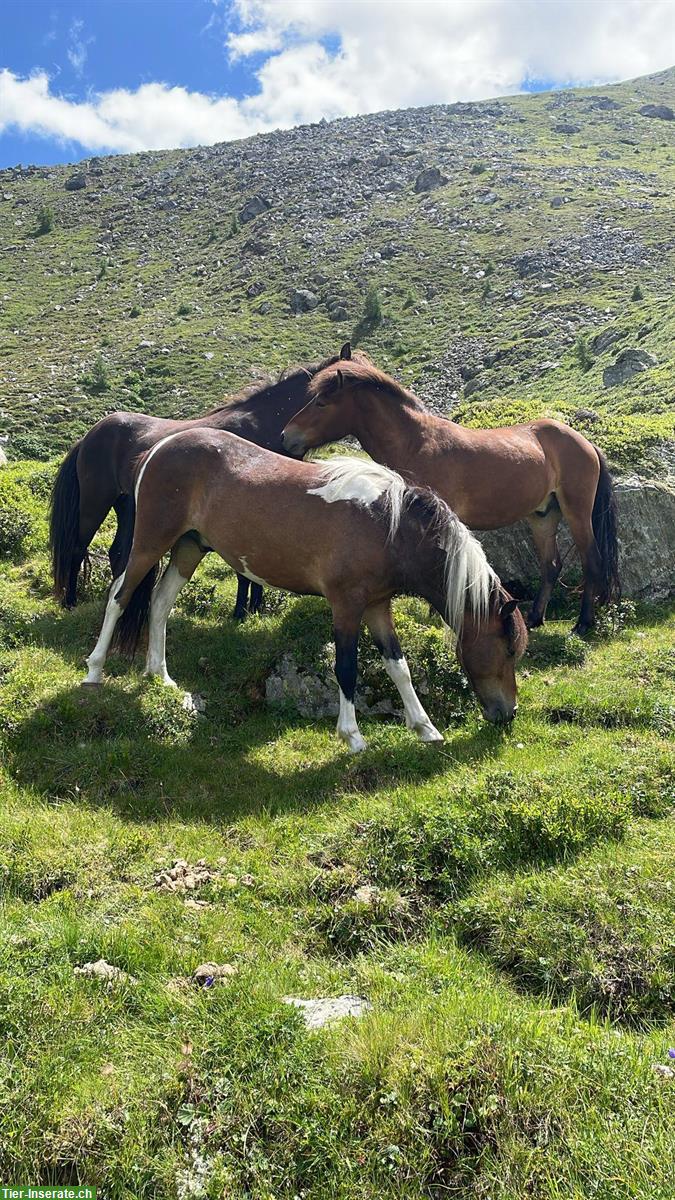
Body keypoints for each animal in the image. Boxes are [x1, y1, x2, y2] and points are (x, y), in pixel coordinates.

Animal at [49, 343, 348, 614]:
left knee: (117, 553)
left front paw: (254, 608)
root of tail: (89, 436)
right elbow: (243, 570)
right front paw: (241, 612)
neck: (265, 424)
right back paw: (70, 602)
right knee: (78, 547)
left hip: (126, 507)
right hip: (95, 503)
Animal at [82, 432, 526, 748]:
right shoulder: (346, 606)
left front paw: (425, 728)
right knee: (119, 597)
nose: (508, 713)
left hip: (189, 548)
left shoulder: (377, 606)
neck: (390, 524)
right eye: (508, 649)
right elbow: (346, 667)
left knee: (159, 603)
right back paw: (94, 671)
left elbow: (398, 666)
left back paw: (160, 674)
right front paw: (352, 736)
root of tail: (160, 446)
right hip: (150, 542)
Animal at [281, 350, 619, 633]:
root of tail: (585, 443)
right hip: (543, 516)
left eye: (322, 403)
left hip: (577, 513)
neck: (416, 443)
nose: (287, 436)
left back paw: (583, 624)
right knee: (551, 566)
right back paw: (536, 618)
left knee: (592, 561)